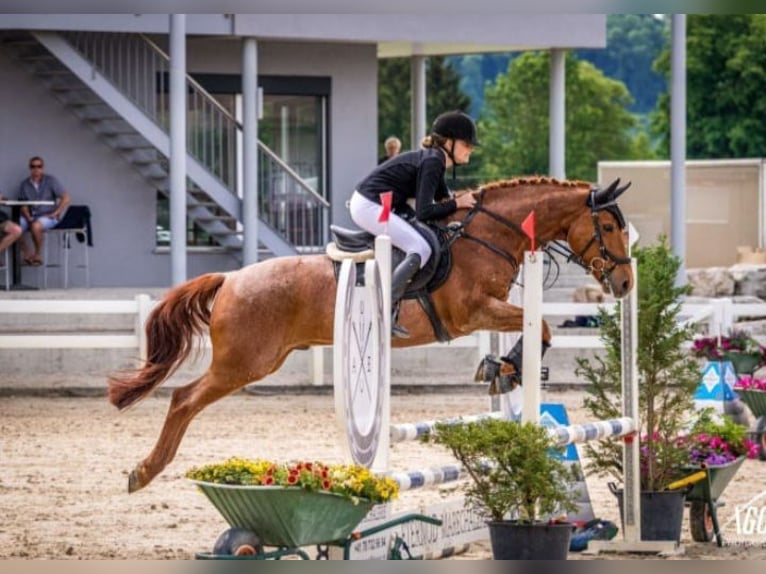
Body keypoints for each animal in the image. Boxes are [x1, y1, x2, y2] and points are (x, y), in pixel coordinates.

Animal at [108, 177, 636, 496]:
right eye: (609, 225)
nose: (627, 283)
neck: (486, 233)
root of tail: (230, 279)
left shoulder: (487, 314)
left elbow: (533, 331)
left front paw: (500, 369)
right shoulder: (472, 312)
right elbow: (542, 325)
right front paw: (506, 368)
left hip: (257, 360)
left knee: (185, 398)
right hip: (243, 362)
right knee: (184, 398)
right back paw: (144, 472)